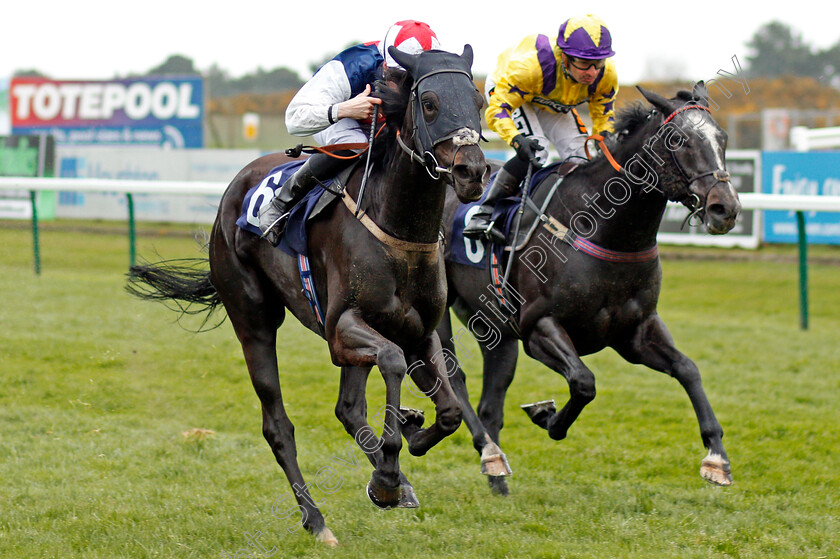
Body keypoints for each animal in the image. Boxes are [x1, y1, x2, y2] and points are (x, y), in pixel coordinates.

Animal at [128, 47, 488, 548]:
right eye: (430, 102)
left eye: (479, 99)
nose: (472, 171)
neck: (398, 228)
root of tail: (233, 190)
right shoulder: (342, 328)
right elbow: (392, 361)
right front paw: (390, 469)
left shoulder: (419, 331)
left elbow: (450, 409)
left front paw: (408, 442)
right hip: (254, 322)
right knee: (278, 426)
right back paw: (317, 519)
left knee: (348, 408)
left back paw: (393, 480)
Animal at [440, 82, 740, 494]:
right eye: (679, 141)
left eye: (722, 138)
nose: (725, 208)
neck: (604, 228)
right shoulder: (538, 327)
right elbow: (584, 382)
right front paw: (547, 418)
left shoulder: (635, 331)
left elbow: (688, 369)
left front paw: (716, 457)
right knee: (453, 378)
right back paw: (486, 451)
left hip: (494, 329)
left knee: (491, 401)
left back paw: (496, 475)